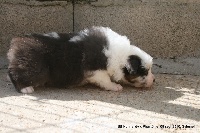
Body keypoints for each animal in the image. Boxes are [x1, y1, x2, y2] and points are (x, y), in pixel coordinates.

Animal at [7, 26, 155, 93]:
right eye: (144, 71)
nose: (154, 80)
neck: (119, 54)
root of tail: (16, 43)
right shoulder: (97, 71)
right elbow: (106, 80)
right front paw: (115, 86)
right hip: (34, 68)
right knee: (14, 73)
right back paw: (25, 88)